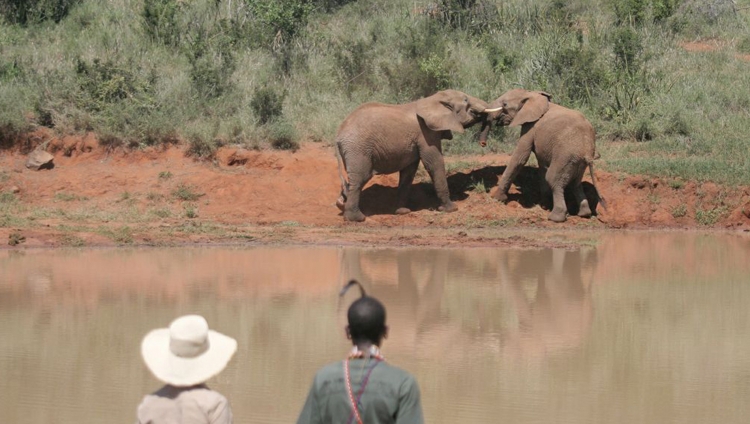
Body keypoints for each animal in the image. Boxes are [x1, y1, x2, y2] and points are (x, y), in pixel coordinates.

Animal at [338, 89, 496, 222]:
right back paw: (357, 218)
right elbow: (435, 163)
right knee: (360, 178)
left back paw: (340, 203)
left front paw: (402, 212)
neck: (434, 99)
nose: (483, 144)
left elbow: (409, 172)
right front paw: (451, 209)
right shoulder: (426, 133)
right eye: (465, 99)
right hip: (358, 149)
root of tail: (338, 135)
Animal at [484, 88, 608, 224]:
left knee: (554, 179)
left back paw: (555, 218)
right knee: (575, 183)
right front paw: (544, 204)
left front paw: (496, 198)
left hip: (565, 157)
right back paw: (584, 214)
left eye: (505, 104)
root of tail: (586, 151)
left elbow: (520, 157)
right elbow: (541, 164)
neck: (530, 94)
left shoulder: (530, 127)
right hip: (578, 162)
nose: (483, 143)